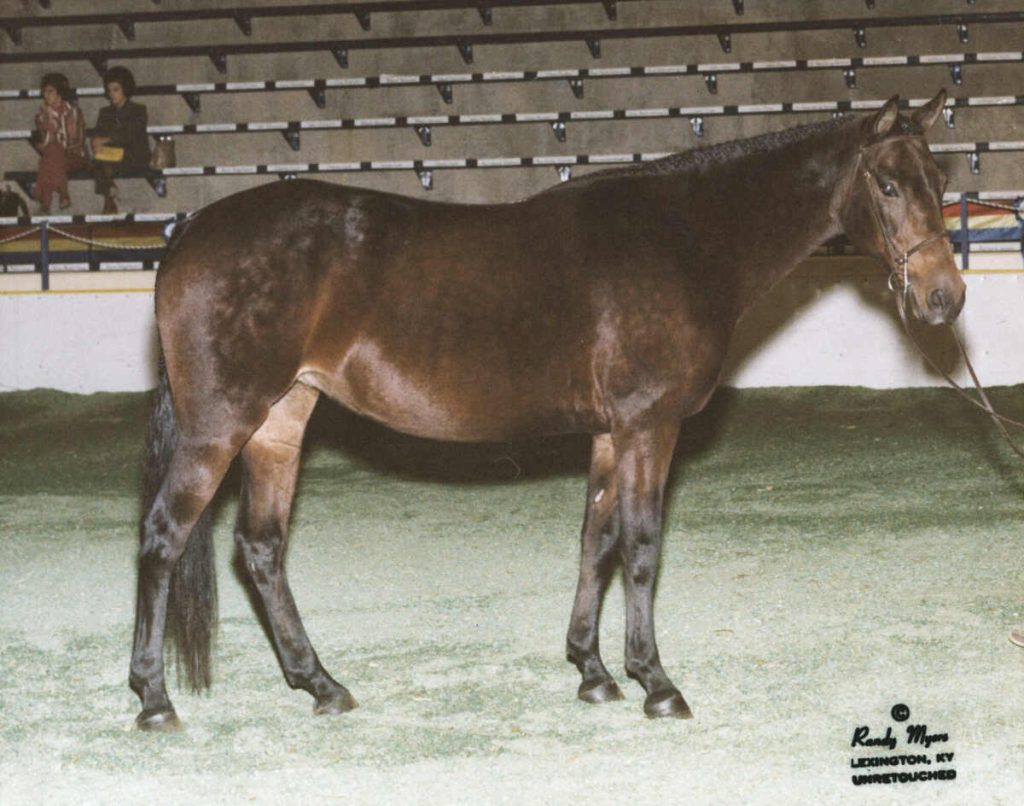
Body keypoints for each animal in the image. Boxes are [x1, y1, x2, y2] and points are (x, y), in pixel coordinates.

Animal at [130, 90, 964, 730]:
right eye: (888, 184)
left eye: (937, 178)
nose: (943, 297)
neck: (685, 240)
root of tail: (189, 234)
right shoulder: (648, 425)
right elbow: (642, 545)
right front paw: (657, 684)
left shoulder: (610, 433)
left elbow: (597, 543)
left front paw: (593, 672)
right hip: (220, 425)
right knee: (164, 538)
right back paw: (154, 700)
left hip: (280, 419)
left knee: (261, 548)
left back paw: (322, 685)